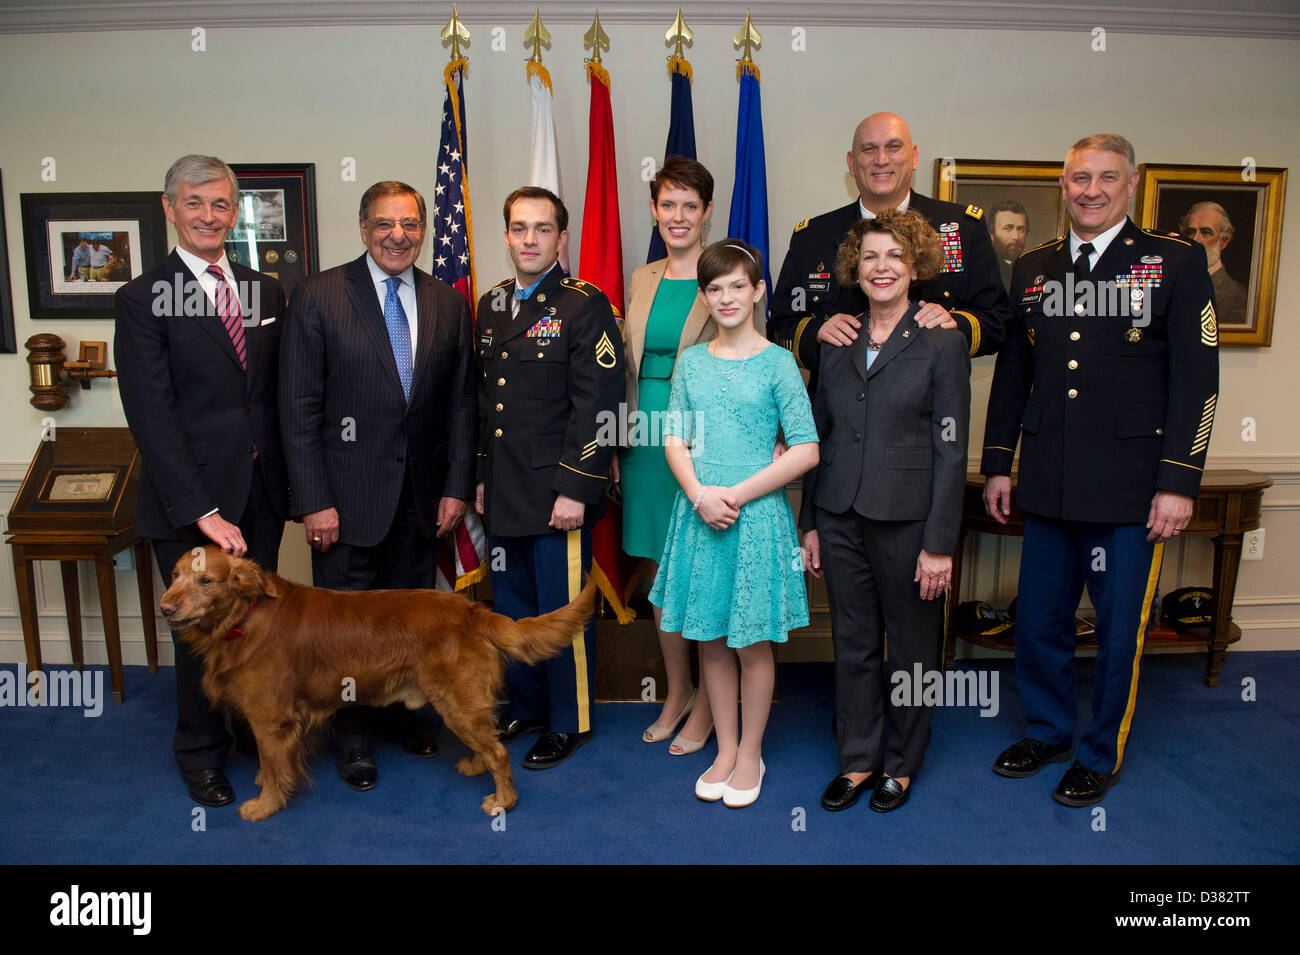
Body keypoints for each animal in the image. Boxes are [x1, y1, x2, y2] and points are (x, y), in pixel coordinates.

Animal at [158, 545, 598, 821]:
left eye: (205, 581)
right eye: (175, 576)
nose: (164, 607)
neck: (244, 617)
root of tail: (471, 609)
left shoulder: (271, 719)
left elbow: (271, 762)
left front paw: (264, 804)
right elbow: (272, 763)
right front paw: (267, 782)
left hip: (455, 701)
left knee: (500, 753)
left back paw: (503, 801)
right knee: (488, 743)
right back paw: (475, 765)